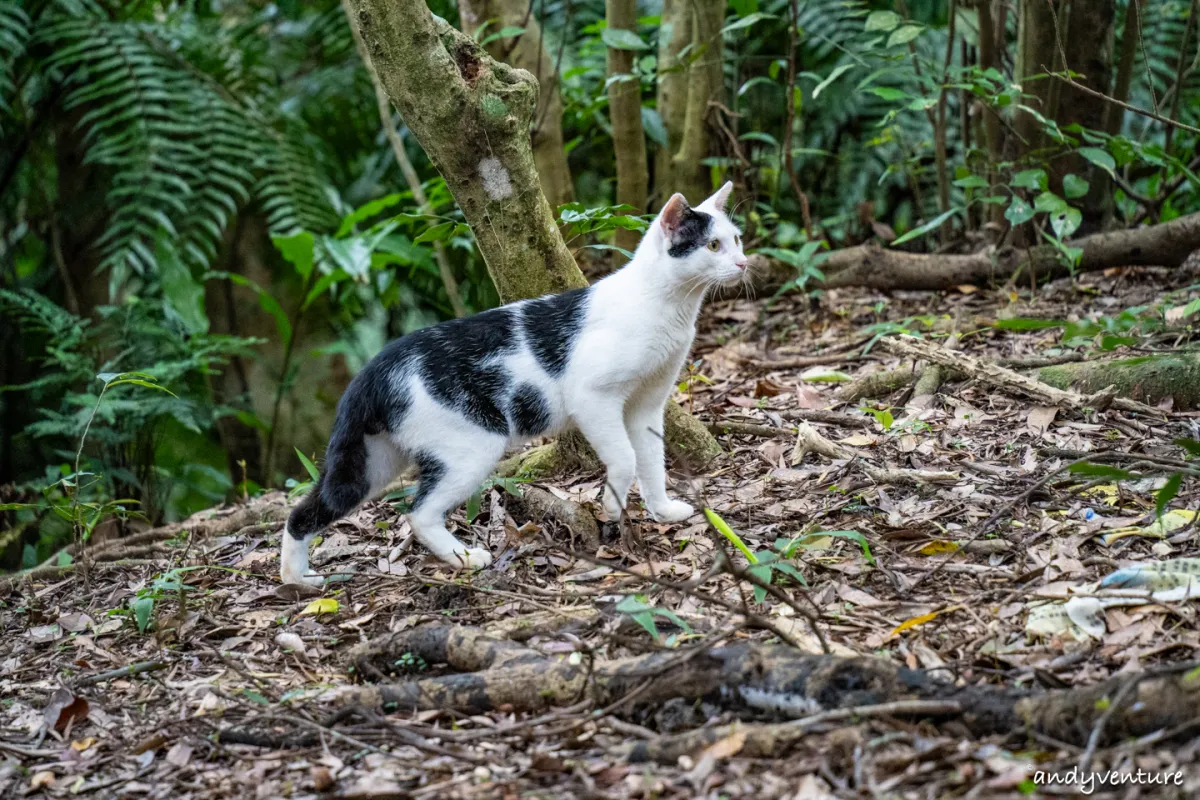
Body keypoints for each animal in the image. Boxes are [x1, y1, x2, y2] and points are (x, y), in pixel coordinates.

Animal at [284, 181, 744, 585]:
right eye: (712, 246)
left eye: (737, 240)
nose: (743, 263)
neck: (669, 306)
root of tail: (371, 372)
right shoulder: (591, 396)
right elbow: (626, 458)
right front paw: (611, 507)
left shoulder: (647, 402)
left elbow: (652, 460)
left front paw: (662, 510)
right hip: (472, 443)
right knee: (417, 512)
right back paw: (464, 557)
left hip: (375, 460)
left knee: (306, 510)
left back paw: (297, 579)